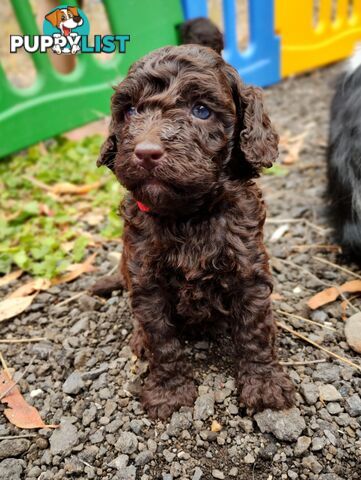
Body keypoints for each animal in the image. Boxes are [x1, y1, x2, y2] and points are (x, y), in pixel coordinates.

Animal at [97, 46, 294, 420]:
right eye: (130, 111)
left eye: (201, 110)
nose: (145, 152)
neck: (189, 215)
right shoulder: (147, 281)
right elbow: (162, 339)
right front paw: (169, 392)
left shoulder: (249, 271)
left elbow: (255, 330)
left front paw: (264, 385)